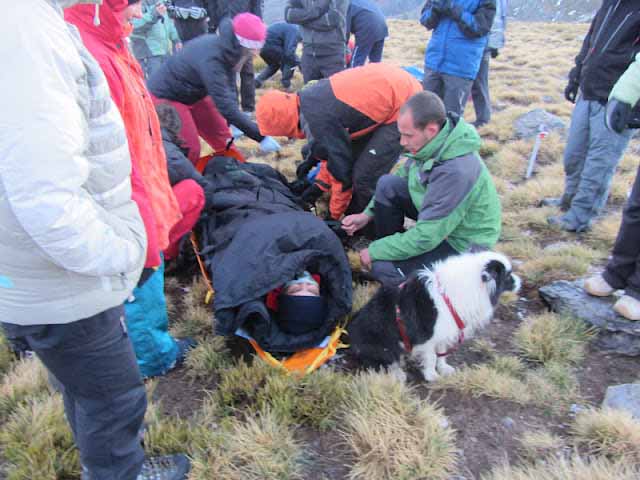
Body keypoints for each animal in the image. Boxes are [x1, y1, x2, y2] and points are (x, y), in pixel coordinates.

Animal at [344, 251, 520, 382]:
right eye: (508, 276)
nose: (520, 282)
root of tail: (347, 335)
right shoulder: (427, 336)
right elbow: (431, 357)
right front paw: (431, 375)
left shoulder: (445, 330)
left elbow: (442, 353)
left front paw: (443, 368)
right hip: (383, 345)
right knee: (383, 363)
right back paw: (398, 374)